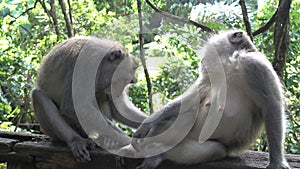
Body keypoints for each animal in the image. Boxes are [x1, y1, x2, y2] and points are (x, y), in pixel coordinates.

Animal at [118, 30, 290, 169]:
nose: (202, 59)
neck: (230, 65)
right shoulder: (209, 76)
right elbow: (190, 100)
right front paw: (145, 125)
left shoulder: (255, 65)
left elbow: (271, 105)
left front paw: (276, 162)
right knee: (182, 115)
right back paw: (149, 151)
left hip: (202, 145)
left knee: (213, 149)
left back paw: (157, 154)